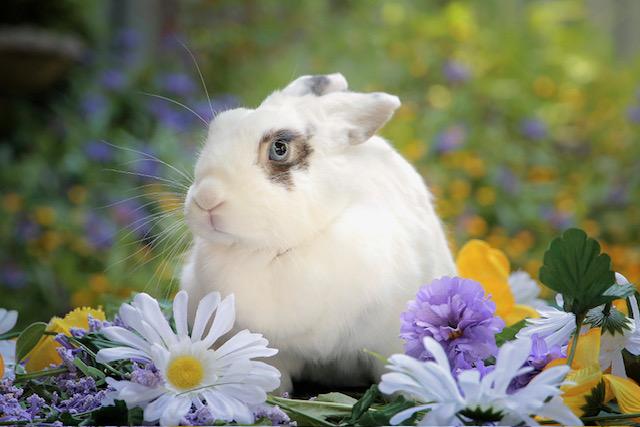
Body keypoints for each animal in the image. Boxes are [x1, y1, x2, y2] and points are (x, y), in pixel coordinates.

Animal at [180, 73, 456, 392]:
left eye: (279, 148)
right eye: (217, 129)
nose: (206, 198)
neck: (275, 253)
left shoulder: (390, 340)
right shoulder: (265, 351)